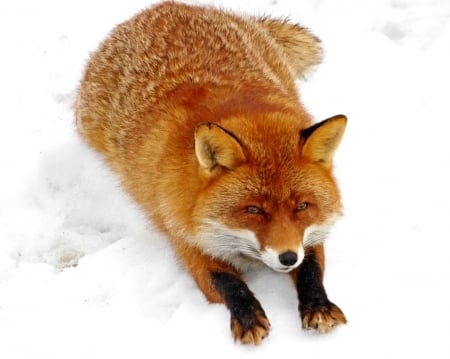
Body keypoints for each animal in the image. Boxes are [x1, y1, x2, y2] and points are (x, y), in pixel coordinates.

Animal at [74, 0, 348, 346]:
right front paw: (247, 316)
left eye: (302, 206)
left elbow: (312, 269)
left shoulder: (309, 233)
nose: (287, 259)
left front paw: (319, 306)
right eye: (253, 210)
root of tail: (161, 8)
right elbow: (225, 281)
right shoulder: (183, 236)